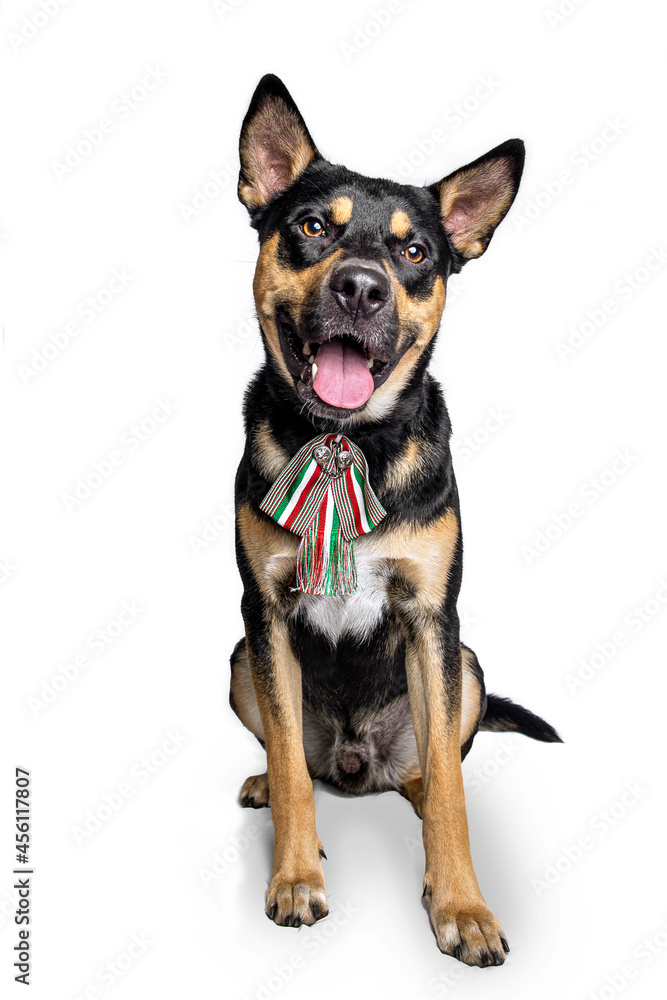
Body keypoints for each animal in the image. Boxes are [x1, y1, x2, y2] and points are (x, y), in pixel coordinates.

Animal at [231, 74, 564, 964]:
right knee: (293, 763)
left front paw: (461, 906)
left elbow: (450, 789)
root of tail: (358, 762)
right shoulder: (264, 614)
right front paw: (294, 877)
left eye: (415, 254)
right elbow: (288, 763)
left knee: (430, 769)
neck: (347, 441)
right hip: (240, 660)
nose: (360, 286)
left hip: (468, 670)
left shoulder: (431, 620)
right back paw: (273, 791)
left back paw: (409, 787)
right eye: (312, 227)